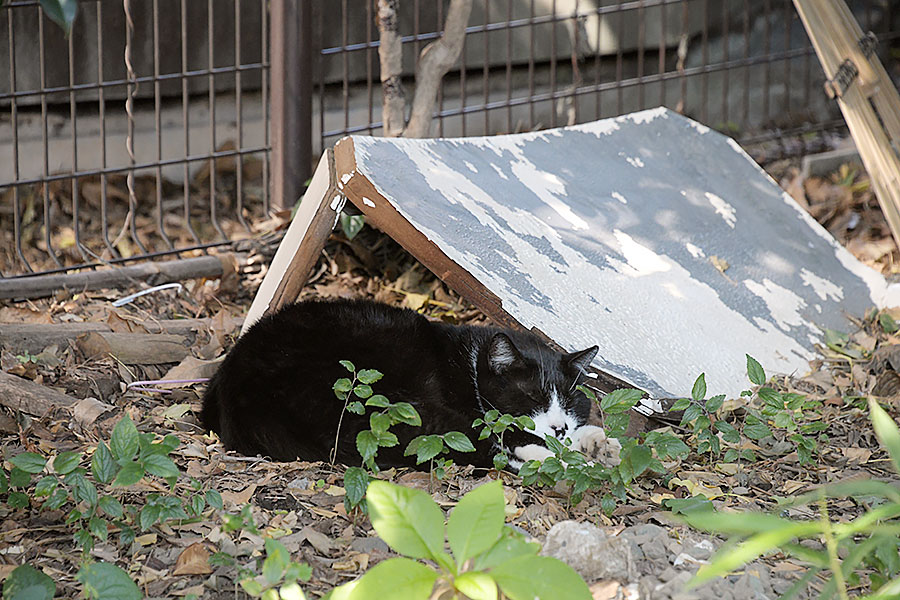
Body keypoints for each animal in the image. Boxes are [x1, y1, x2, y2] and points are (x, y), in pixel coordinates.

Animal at [200, 298, 624, 472]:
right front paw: (576, 447)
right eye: (530, 396)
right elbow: (502, 433)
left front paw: (593, 440)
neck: (467, 365)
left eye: (568, 401)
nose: (559, 426)